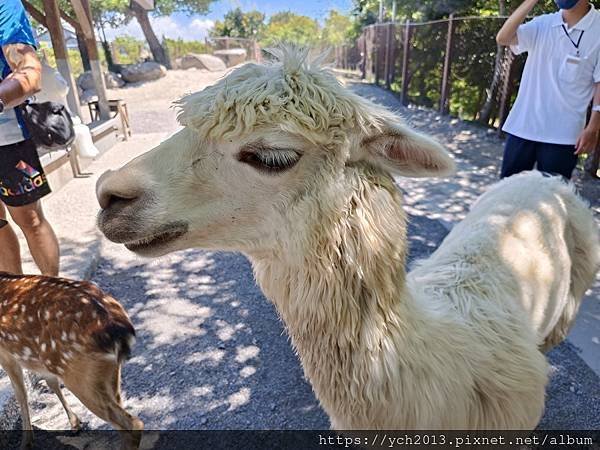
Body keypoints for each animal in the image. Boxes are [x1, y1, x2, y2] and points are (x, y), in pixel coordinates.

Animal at [0, 272, 144, 448]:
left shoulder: (6, 354)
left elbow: (21, 394)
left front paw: (26, 443)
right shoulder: (43, 363)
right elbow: (51, 382)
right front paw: (75, 423)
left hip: (78, 373)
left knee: (133, 425)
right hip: (106, 372)